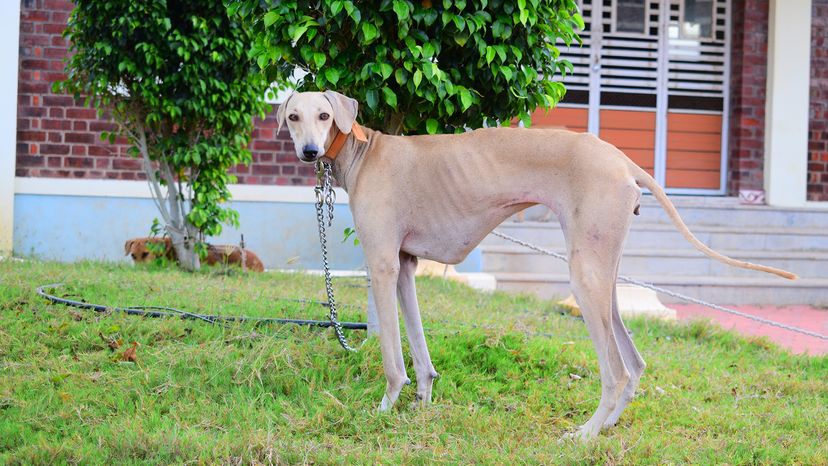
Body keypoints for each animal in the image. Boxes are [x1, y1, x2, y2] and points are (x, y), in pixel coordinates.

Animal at [276, 90, 796, 440]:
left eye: (325, 115)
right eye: (294, 116)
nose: (310, 151)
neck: (365, 151)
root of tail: (624, 162)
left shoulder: (382, 265)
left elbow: (392, 360)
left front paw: (385, 409)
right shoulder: (405, 266)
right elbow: (420, 351)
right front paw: (422, 404)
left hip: (585, 279)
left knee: (616, 373)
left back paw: (584, 436)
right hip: (604, 278)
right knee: (635, 364)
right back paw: (605, 429)